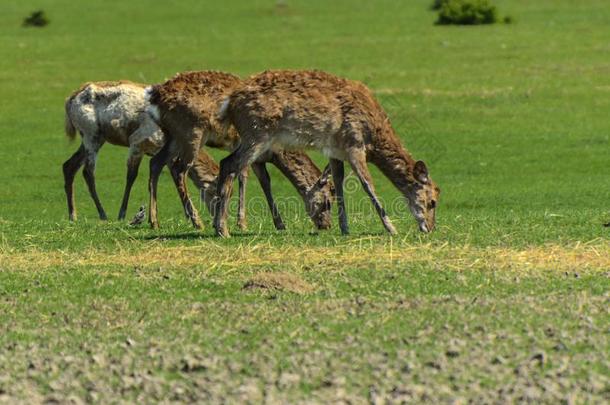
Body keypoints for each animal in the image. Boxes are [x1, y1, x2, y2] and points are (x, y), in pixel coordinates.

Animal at [61, 81, 222, 223]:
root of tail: (69, 100)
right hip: (90, 134)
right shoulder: (137, 141)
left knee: (69, 165)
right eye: (215, 191)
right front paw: (122, 214)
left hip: (96, 138)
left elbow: (175, 177)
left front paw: (189, 216)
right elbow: (131, 176)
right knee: (88, 171)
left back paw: (73, 215)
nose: (218, 215)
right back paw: (102, 214)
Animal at [144, 71, 330, 232]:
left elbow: (264, 182)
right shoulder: (248, 147)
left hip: (173, 135)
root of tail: (155, 97)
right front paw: (241, 223)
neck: (278, 151)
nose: (327, 225)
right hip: (192, 132)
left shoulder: (259, 157)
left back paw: (154, 221)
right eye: (328, 201)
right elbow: (242, 177)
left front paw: (279, 224)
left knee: (156, 162)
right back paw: (196, 221)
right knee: (179, 169)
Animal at [216, 68, 440, 235]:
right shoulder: (354, 143)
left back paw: (219, 225)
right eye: (432, 202)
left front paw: (344, 228)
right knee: (229, 164)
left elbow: (339, 183)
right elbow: (367, 184)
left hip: (251, 136)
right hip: (257, 133)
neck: (374, 136)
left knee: (226, 163)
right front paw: (391, 228)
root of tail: (228, 103)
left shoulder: (335, 151)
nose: (430, 228)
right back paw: (222, 229)